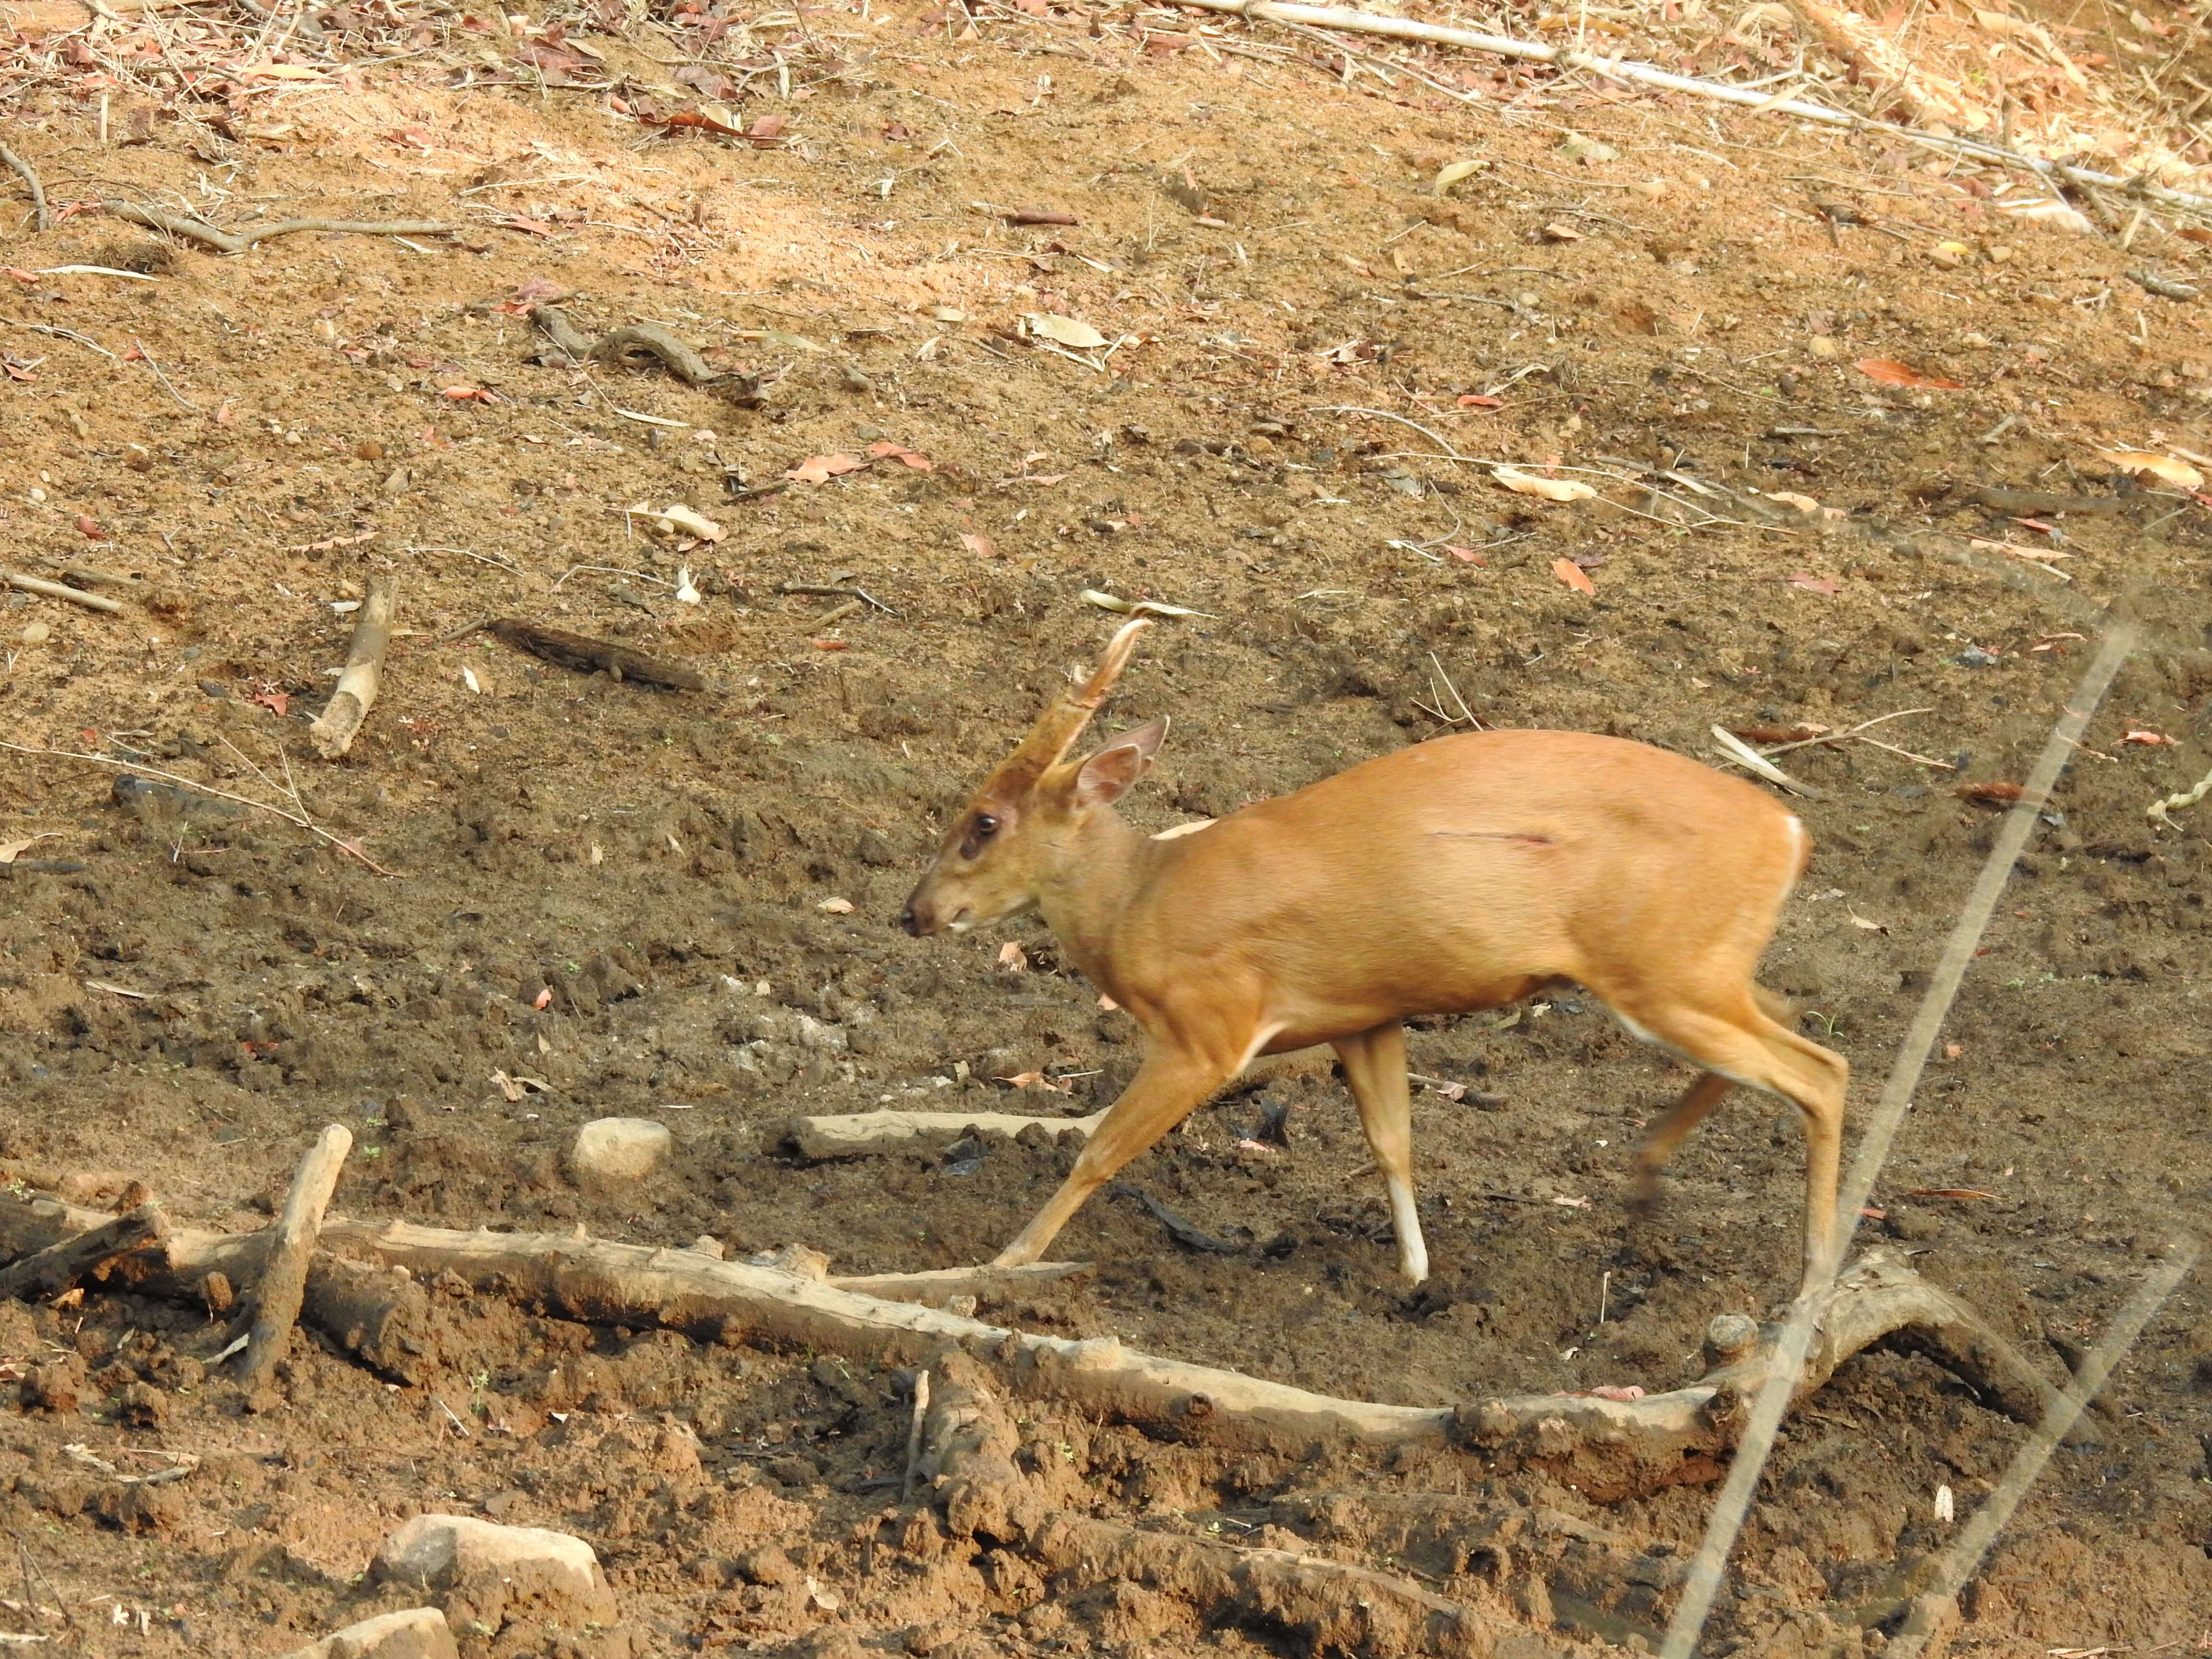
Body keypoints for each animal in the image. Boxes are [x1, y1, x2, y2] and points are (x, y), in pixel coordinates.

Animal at [898, 624, 1849, 1283]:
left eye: (983, 822)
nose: (914, 912)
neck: (1143, 896)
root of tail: (1791, 830)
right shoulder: (1361, 1014)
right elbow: (1394, 1142)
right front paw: (1414, 1275)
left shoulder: (1209, 1029)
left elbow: (1097, 1148)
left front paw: (1005, 1260)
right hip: (1698, 966)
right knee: (1790, 1018)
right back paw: (1648, 1181)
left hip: (1661, 971)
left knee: (1821, 1070)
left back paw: (1810, 1276)